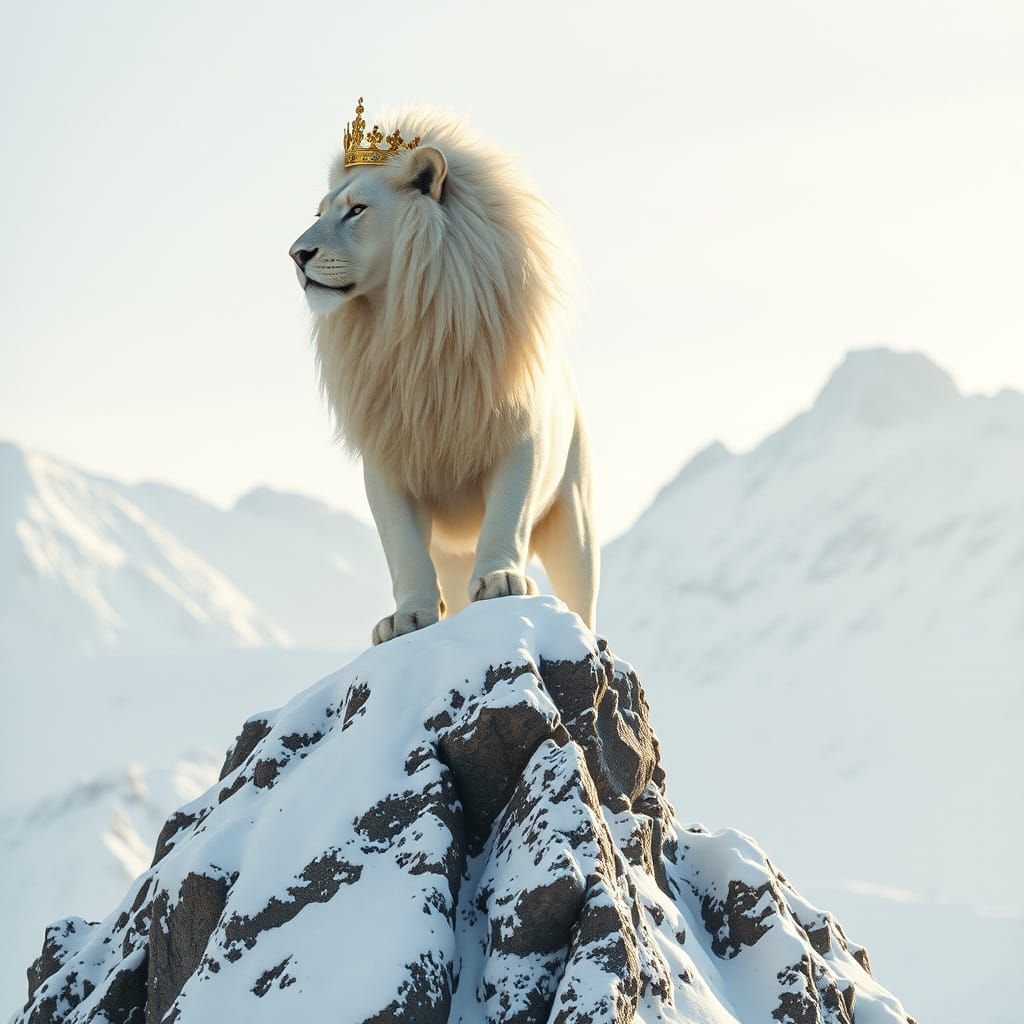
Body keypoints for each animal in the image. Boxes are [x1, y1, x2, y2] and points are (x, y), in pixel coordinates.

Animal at [289, 106, 598, 645]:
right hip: (452, 549)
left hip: (574, 518)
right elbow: (403, 549)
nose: (296, 255)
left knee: (584, 599)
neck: (410, 329)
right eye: (320, 213)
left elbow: (507, 513)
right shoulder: (389, 454)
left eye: (357, 210)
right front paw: (406, 619)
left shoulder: (521, 435)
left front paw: (502, 580)